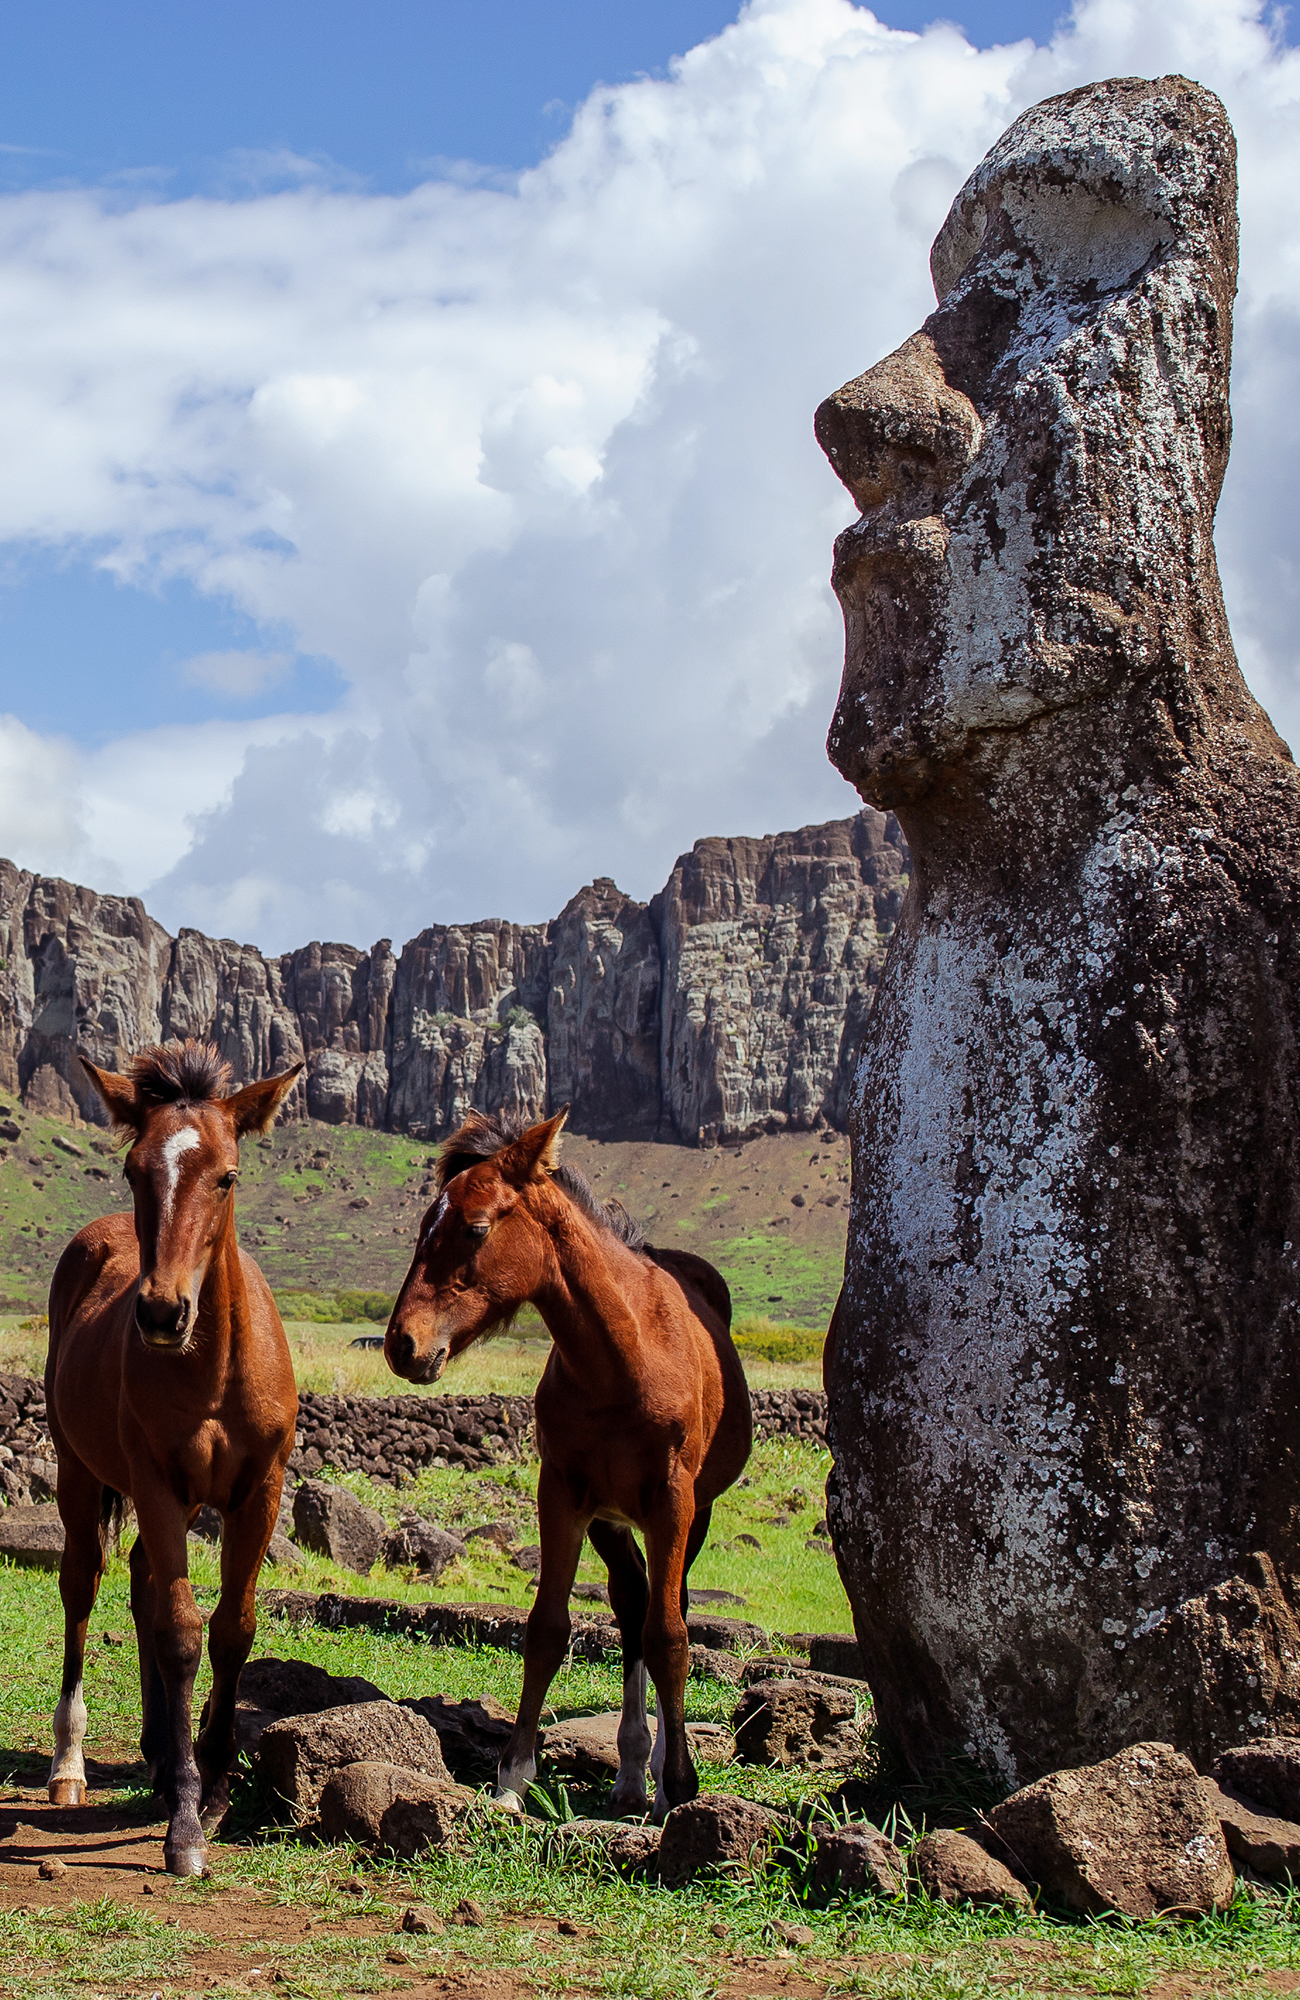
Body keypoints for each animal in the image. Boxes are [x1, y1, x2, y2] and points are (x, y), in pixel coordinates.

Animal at [44, 1040, 301, 1876]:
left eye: (227, 1175)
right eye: (133, 1170)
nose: (161, 1312)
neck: (212, 1368)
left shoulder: (258, 1494)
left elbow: (232, 1628)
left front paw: (213, 1784)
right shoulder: (155, 1486)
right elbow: (184, 1632)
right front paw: (187, 1819)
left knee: (142, 1585)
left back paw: (160, 1752)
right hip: (79, 1475)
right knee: (86, 1586)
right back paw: (71, 1764)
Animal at [384, 1106, 753, 1820]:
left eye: (474, 1228)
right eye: (419, 1229)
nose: (402, 1346)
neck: (621, 1358)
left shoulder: (672, 1500)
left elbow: (671, 1637)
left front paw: (680, 1788)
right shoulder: (562, 1493)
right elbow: (549, 1629)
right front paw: (512, 1780)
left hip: (690, 1516)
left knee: (665, 1611)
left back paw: (656, 1773)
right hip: (612, 1521)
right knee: (631, 1605)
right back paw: (632, 1769)